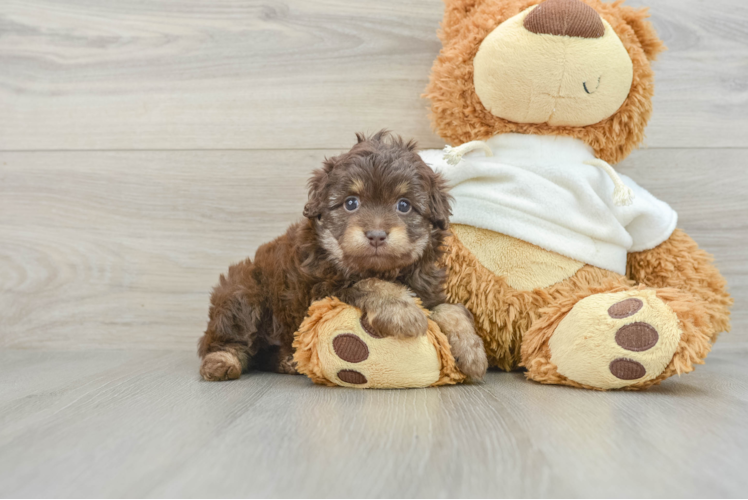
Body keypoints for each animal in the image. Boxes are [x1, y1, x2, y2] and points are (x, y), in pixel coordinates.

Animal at [199, 131, 488, 380]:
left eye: (404, 205)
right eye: (351, 203)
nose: (376, 235)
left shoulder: (428, 289)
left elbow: (451, 308)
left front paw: (471, 350)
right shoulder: (322, 289)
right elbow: (369, 283)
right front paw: (402, 310)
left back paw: (287, 360)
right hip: (242, 292)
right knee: (228, 337)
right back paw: (221, 361)